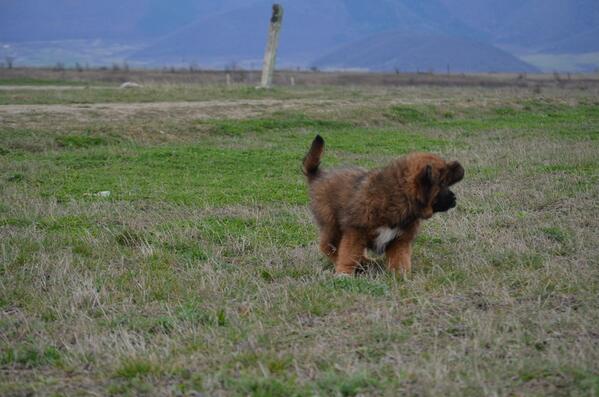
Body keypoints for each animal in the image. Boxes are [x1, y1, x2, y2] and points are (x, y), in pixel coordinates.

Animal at [304, 135, 464, 274]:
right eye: (442, 184)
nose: (455, 198)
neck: (399, 196)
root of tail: (319, 175)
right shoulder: (355, 232)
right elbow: (348, 254)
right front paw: (344, 273)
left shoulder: (399, 240)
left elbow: (400, 260)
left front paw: (401, 276)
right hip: (331, 224)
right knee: (328, 246)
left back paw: (366, 262)